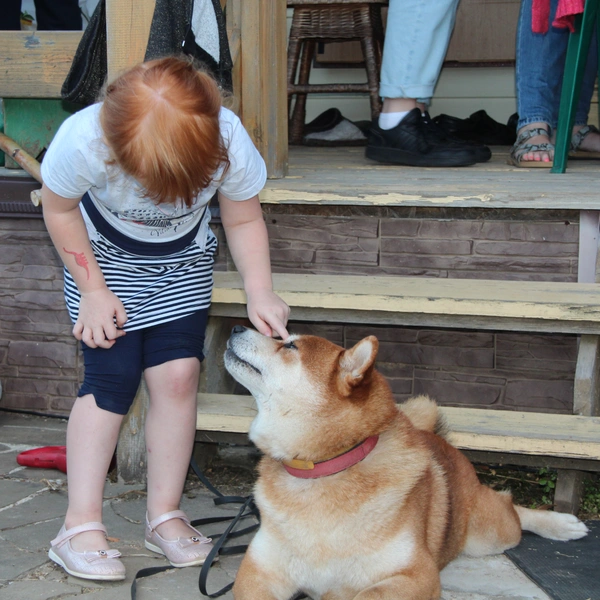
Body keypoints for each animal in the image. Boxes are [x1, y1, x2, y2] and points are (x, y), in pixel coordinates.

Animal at [223, 326, 588, 600]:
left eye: (290, 344)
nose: (238, 326)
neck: (323, 470)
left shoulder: (416, 575)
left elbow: (365, 594)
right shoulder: (258, 573)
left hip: (489, 534)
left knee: (510, 505)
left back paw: (562, 525)